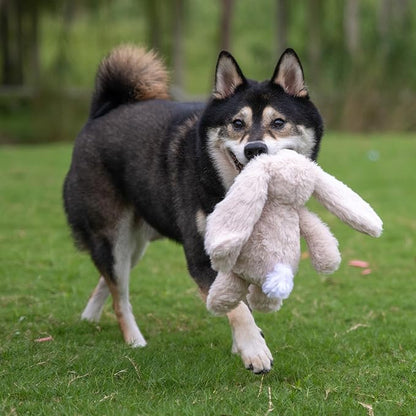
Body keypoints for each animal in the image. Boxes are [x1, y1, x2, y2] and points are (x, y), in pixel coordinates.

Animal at [63, 45, 324, 374]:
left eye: (278, 122)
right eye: (237, 124)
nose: (254, 149)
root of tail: (101, 113)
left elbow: (237, 301)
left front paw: (244, 344)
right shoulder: (200, 256)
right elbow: (239, 309)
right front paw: (254, 350)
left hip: (136, 244)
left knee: (109, 281)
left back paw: (90, 315)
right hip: (114, 235)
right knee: (118, 295)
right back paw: (134, 340)